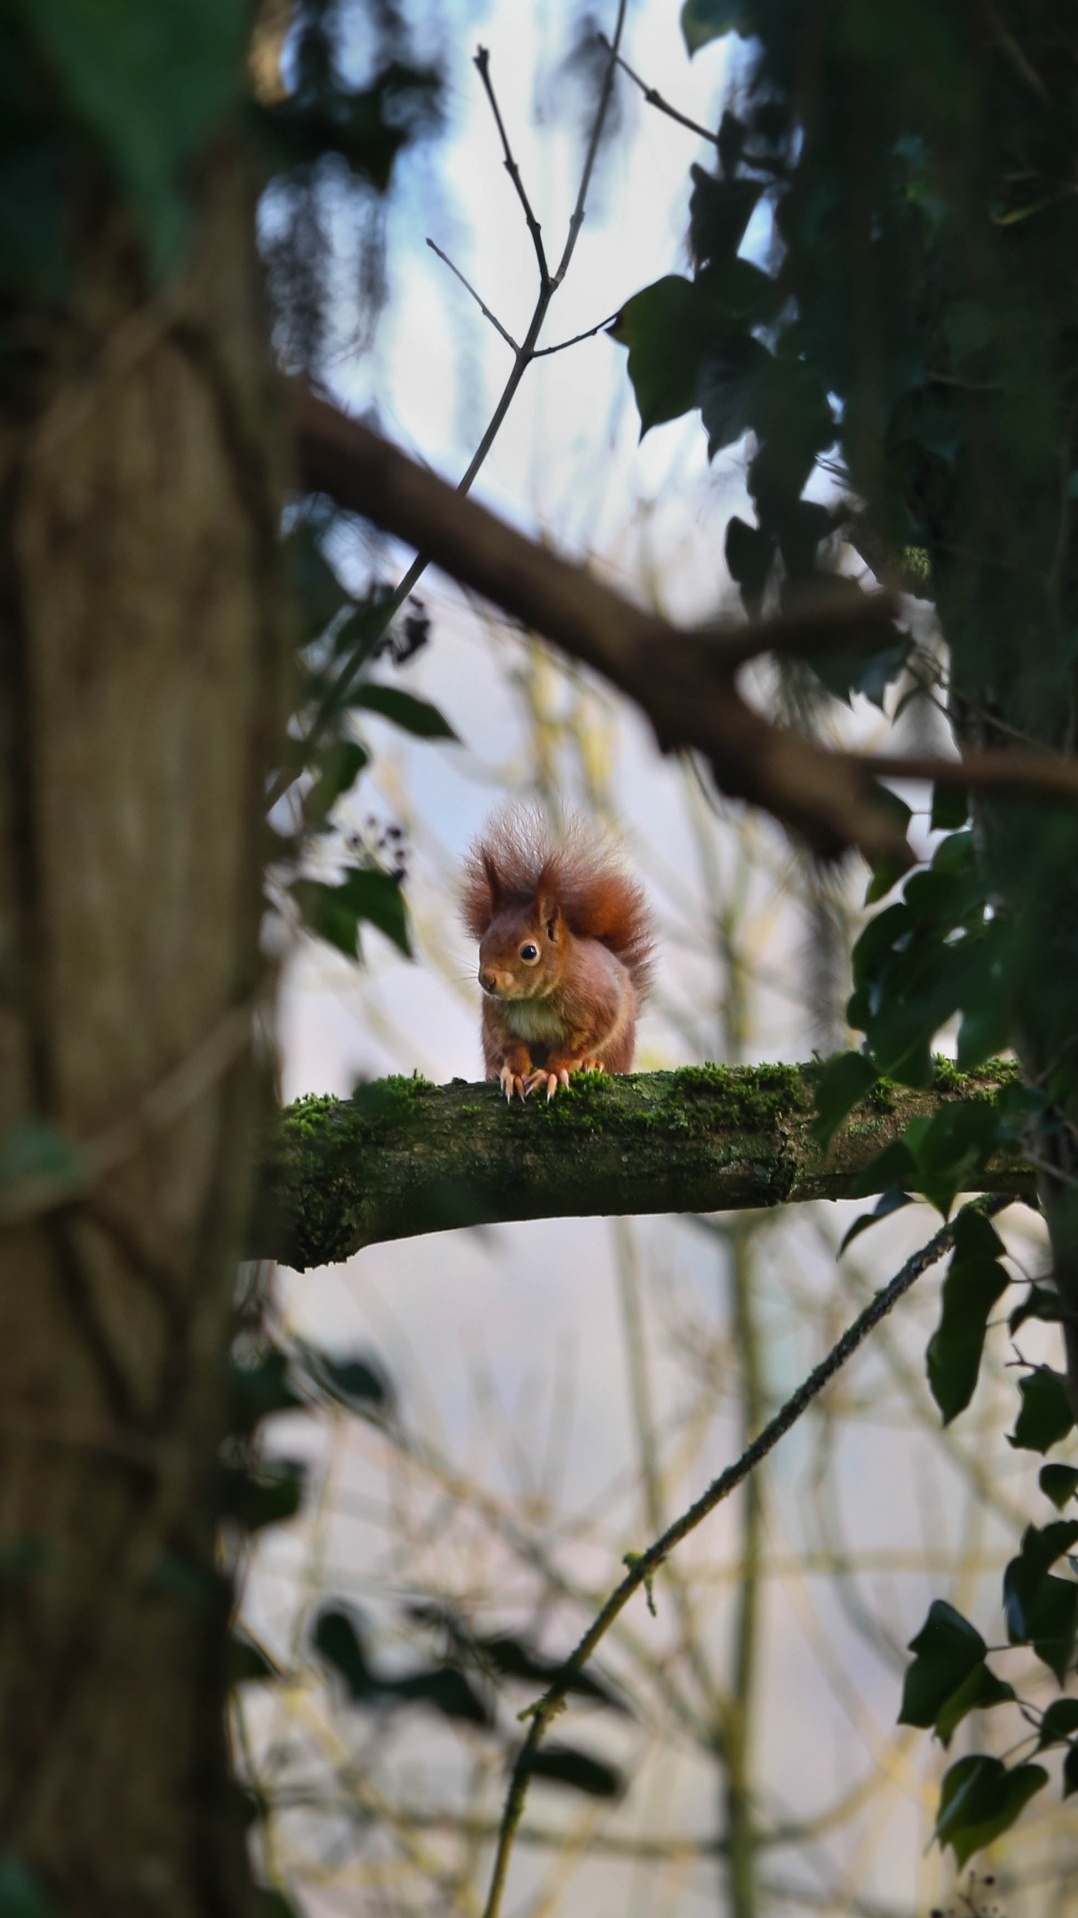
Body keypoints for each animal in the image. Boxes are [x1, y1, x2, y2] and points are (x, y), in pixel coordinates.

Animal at [456, 809, 652, 1104]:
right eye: (483, 943)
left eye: (529, 951)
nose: (487, 981)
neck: (533, 1000)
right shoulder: (498, 1018)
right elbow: (511, 1046)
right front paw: (514, 1072)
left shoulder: (598, 1007)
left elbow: (577, 1046)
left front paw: (552, 1072)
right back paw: (494, 1069)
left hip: (620, 1045)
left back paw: (594, 1064)